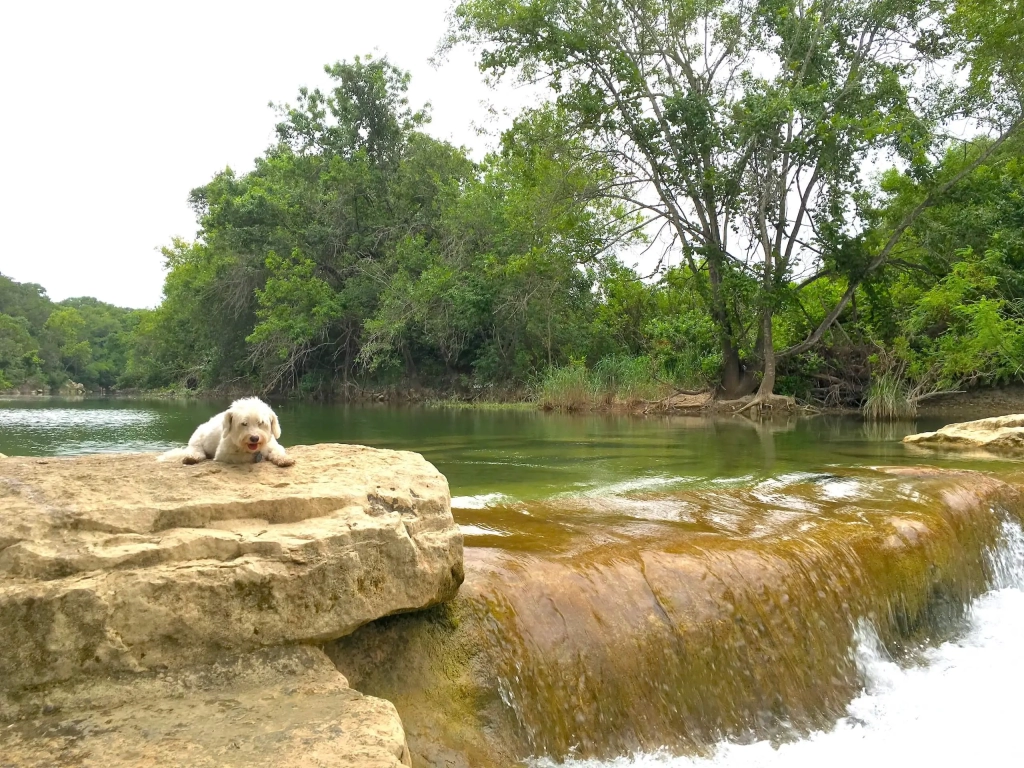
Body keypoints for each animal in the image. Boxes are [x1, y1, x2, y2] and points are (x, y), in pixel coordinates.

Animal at [157, 399, 296, 466]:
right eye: (244, 424)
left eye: (261, 423)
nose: (254, 438)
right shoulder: (224, 455)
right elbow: (245, 457)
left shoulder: (273, 445)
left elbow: (278, 451)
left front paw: (284, 459)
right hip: (196, 441)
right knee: (196, 451)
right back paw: (192, 458)